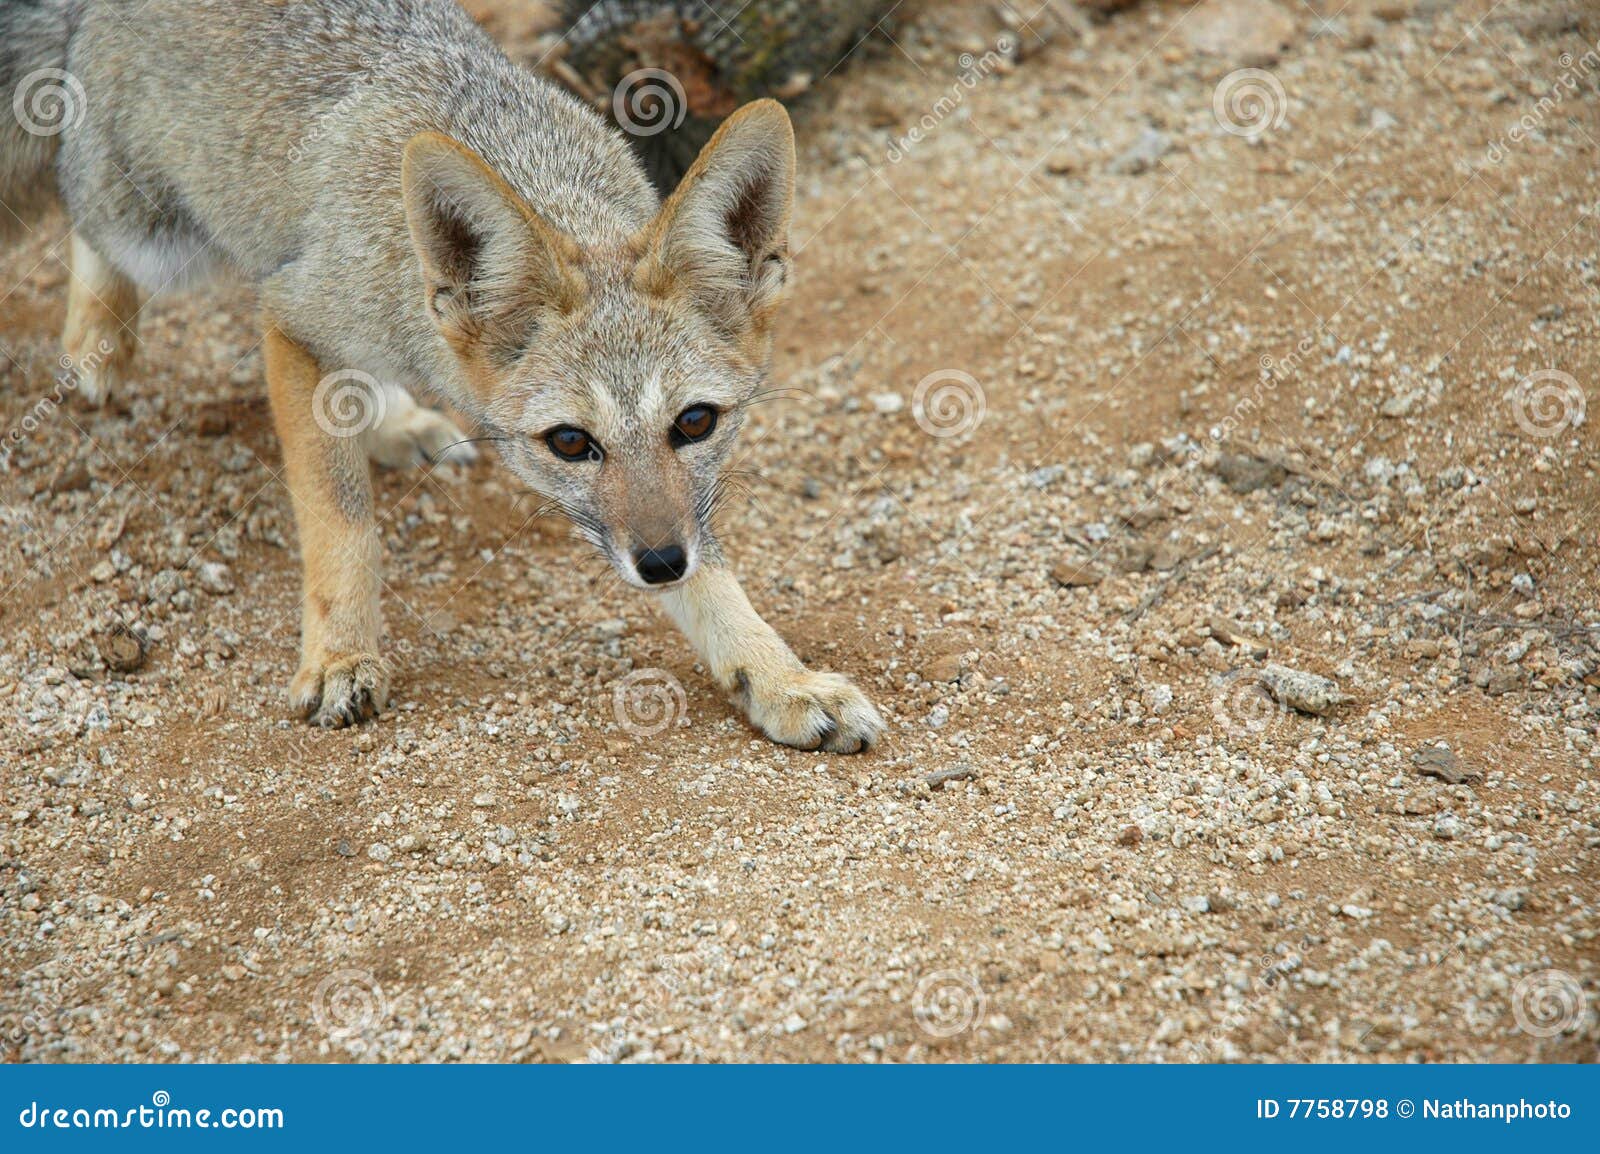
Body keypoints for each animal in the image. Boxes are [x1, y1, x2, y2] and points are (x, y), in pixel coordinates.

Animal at [0, 0, 883, 752]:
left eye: (695, 423)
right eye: (570, 442)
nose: (659, 565)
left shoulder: (676, 519)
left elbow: (717, 579)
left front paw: (779, 678)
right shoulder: (292, 317)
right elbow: (342, 525)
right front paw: (339, 658)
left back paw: (393, 417)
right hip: (156, 236)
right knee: (81, 211)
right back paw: (97, 339)